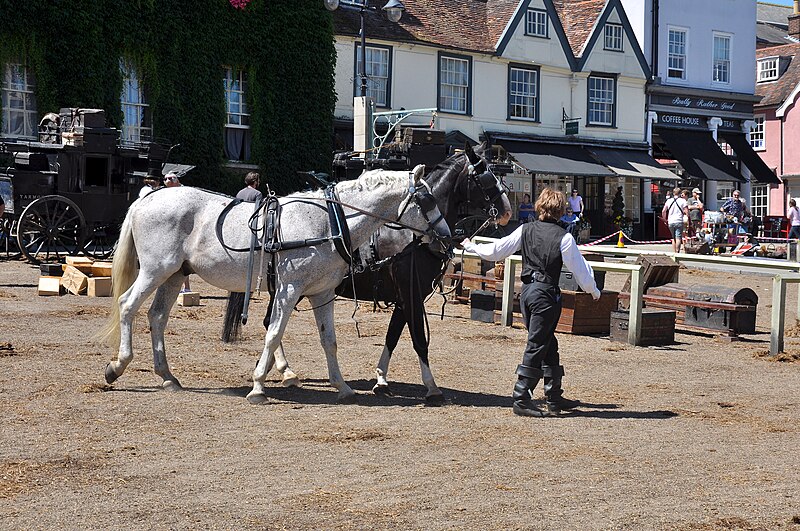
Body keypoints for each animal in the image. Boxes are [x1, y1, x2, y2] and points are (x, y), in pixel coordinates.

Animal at [97, 166, 450, 404]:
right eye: (427, 199)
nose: (447, 236)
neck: (328, 221)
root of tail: (146, 198)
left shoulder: (321, 293)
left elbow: (329, 341)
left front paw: (342, 386)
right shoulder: (289, 290)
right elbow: (274, 333)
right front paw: (258, 386)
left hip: (174, 275)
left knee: (157, 317)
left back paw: (167, 376)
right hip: (155, 271)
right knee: (128, 305)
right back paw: (117, 366)